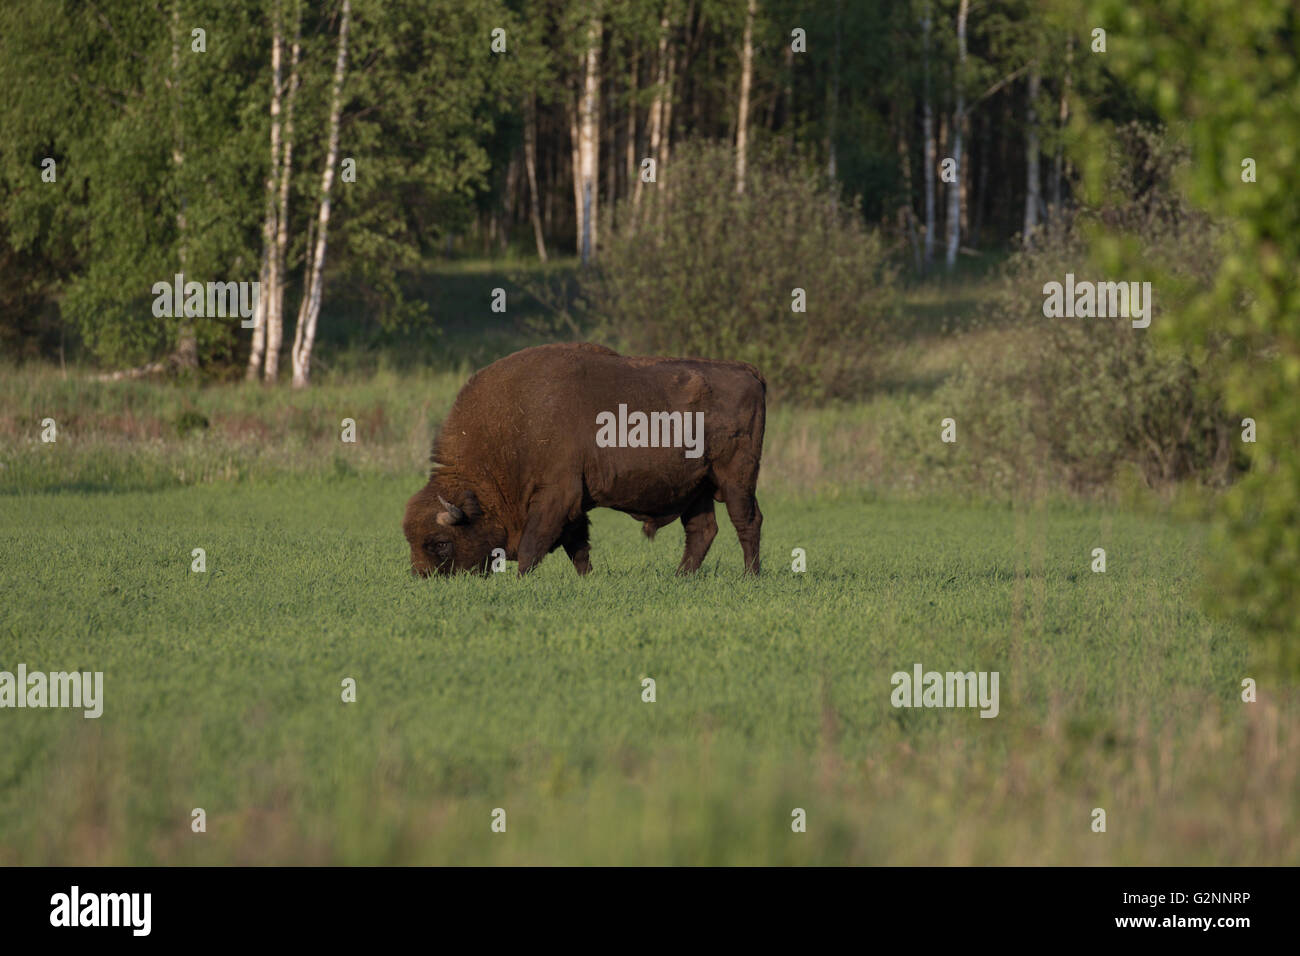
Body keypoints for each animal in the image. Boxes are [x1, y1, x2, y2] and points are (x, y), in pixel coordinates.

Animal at [397, 343, 759, 574]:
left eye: (441, 544)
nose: (422, 577)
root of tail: (751, 372)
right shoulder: (573, 503)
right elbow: (578, 547)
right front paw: (588, 579)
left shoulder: (556, 496)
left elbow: (533, 545)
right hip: (697, 488)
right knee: (702, 531)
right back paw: (681, 578)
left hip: (736, 480)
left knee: (747, 521)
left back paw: (749, 577)